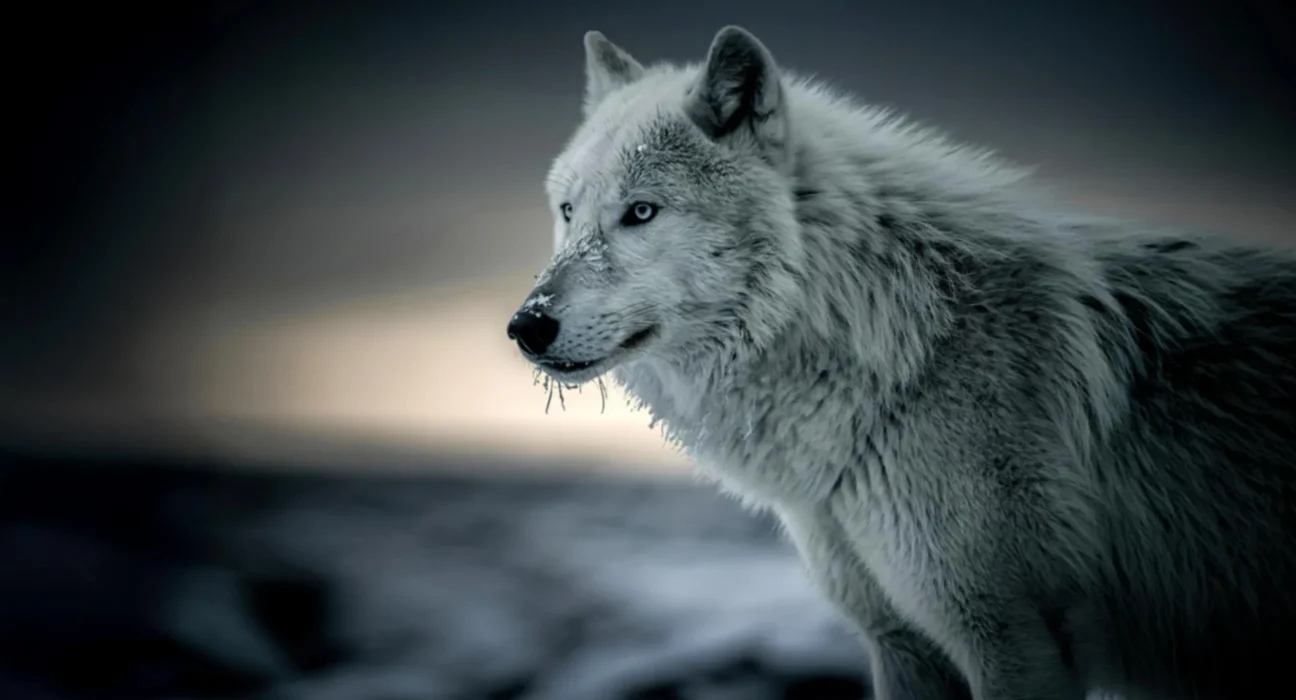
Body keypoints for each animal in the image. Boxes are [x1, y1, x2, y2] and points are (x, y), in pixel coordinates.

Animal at [505, 25, 1296, 700]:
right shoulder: (900, 641)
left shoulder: (1012, 635)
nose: (525, 326)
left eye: (641, 212)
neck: (902, 348)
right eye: (569, 211)